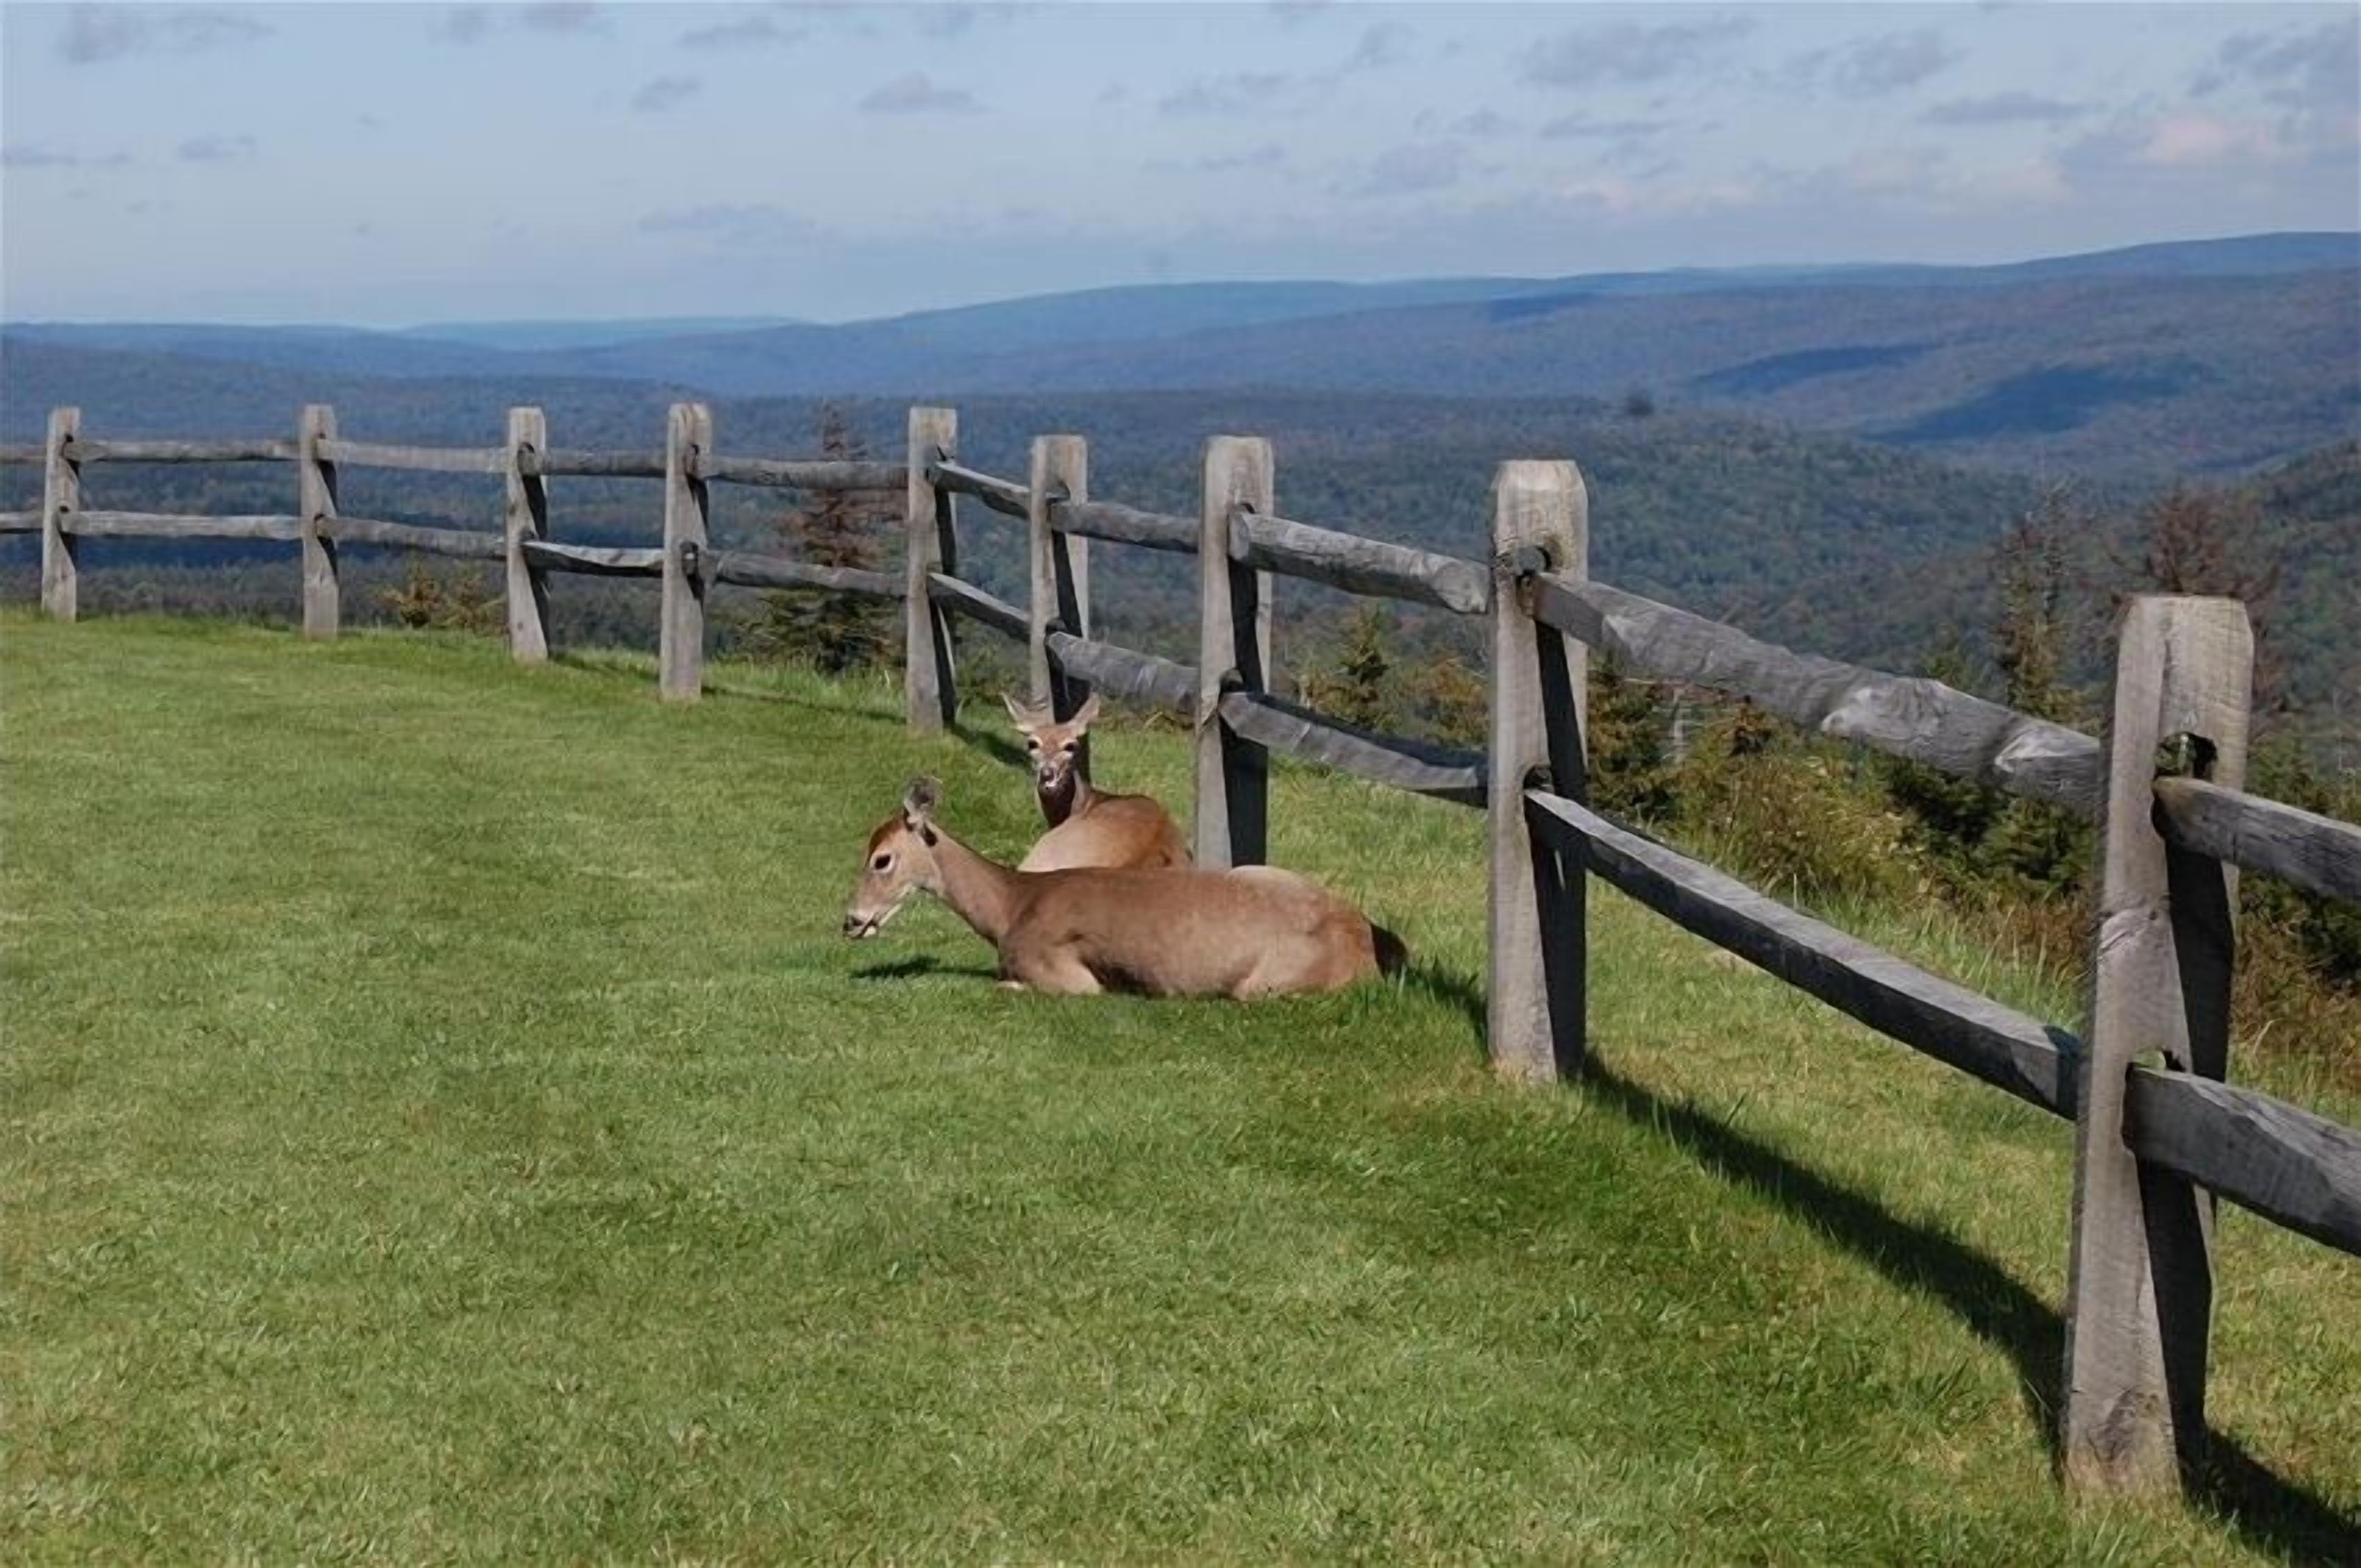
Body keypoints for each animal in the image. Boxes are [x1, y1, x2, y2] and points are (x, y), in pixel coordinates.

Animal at [843, 778, 1406, 998]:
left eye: (882, 859)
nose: (850, 920)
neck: (1012, 908)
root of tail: (1367, 946)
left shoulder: (1066, 974)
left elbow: (1007, 986)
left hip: (1263, 983)